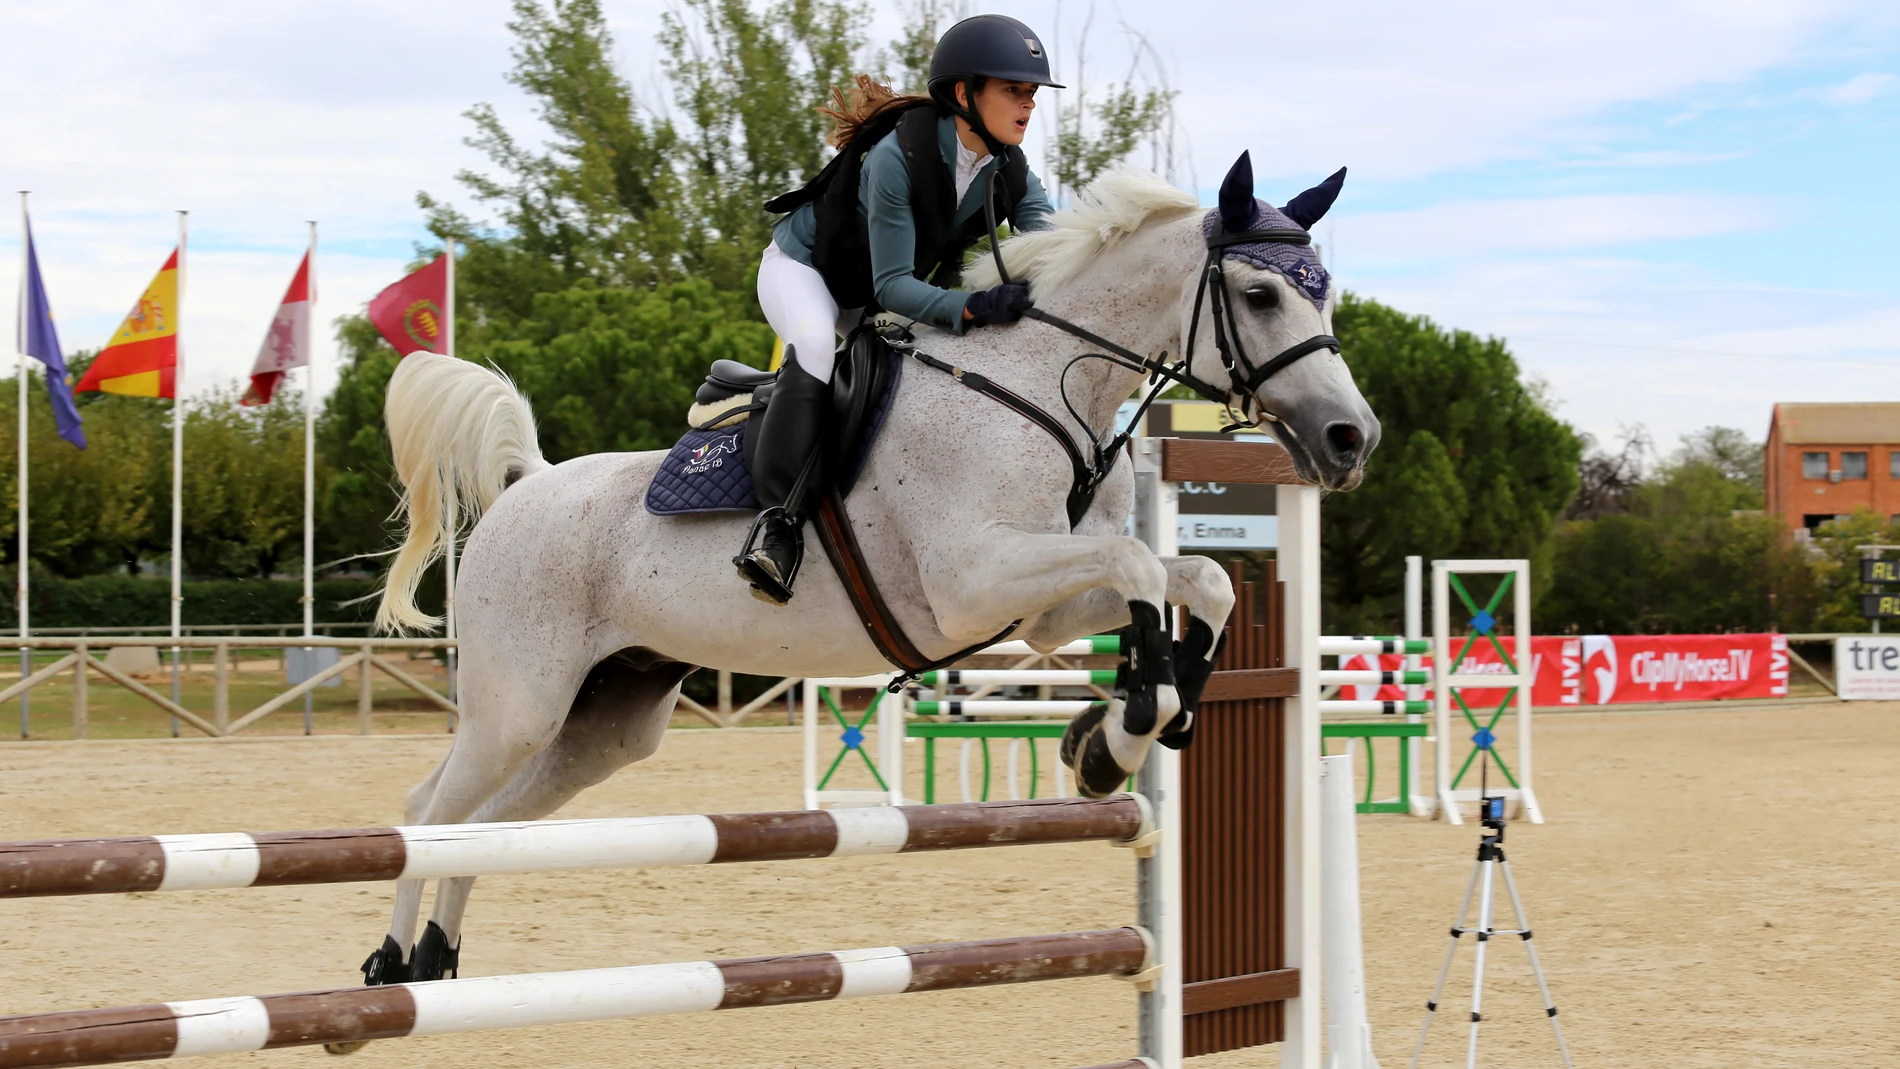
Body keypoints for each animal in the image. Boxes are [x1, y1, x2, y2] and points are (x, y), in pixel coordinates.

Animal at [345, 161, 1383, 1002]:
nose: (1350, 439)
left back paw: (436, 958)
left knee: (489, 824)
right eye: (1258, 293)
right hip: (520, 702)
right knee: (428, 812)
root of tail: (529, 483)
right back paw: (393, 965)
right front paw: (1126, 723)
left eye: (1325, 293)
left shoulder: (1043, 612)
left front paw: (1122, 732)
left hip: (605, 720)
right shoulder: (975, 583)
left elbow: (1202, 578)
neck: (1045, 388)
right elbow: (1137, 564)